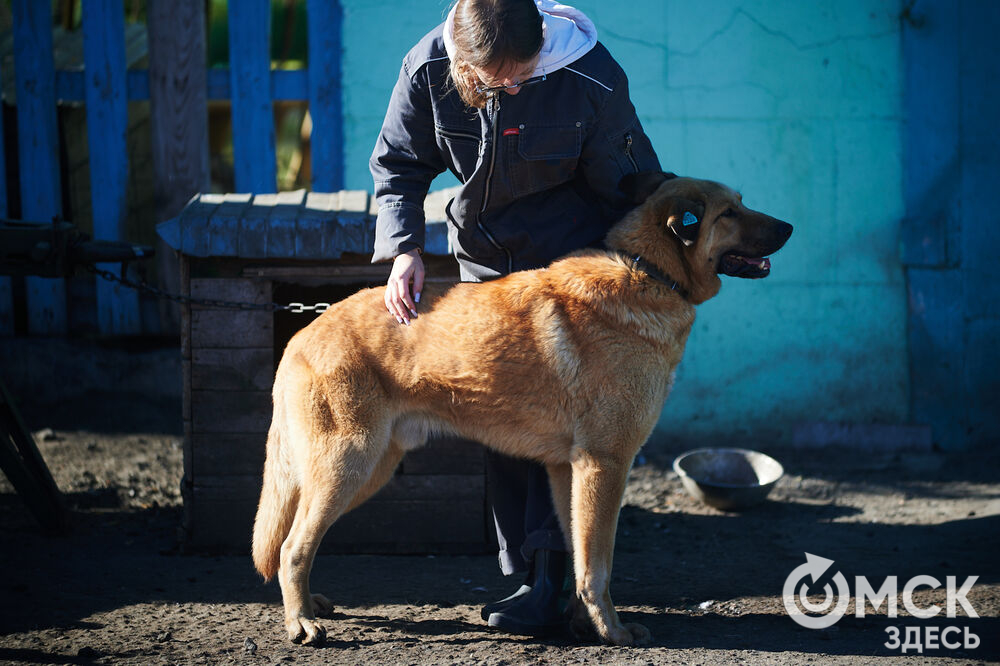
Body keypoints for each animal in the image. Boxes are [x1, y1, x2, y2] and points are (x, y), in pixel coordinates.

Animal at [254, 171, 792, 644]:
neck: (649, 270)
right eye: (729, 213)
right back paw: (301, 623)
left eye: (740, 203)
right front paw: (612, 632)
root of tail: (304, 333)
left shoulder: (568, 470)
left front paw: (581, 625)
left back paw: (310, 604)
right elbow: (598, 565)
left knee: (296, 542)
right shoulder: (606, 464)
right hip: (349, 464)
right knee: (292, 547)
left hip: (367, 470)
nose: (789, 227)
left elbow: (576, 553)